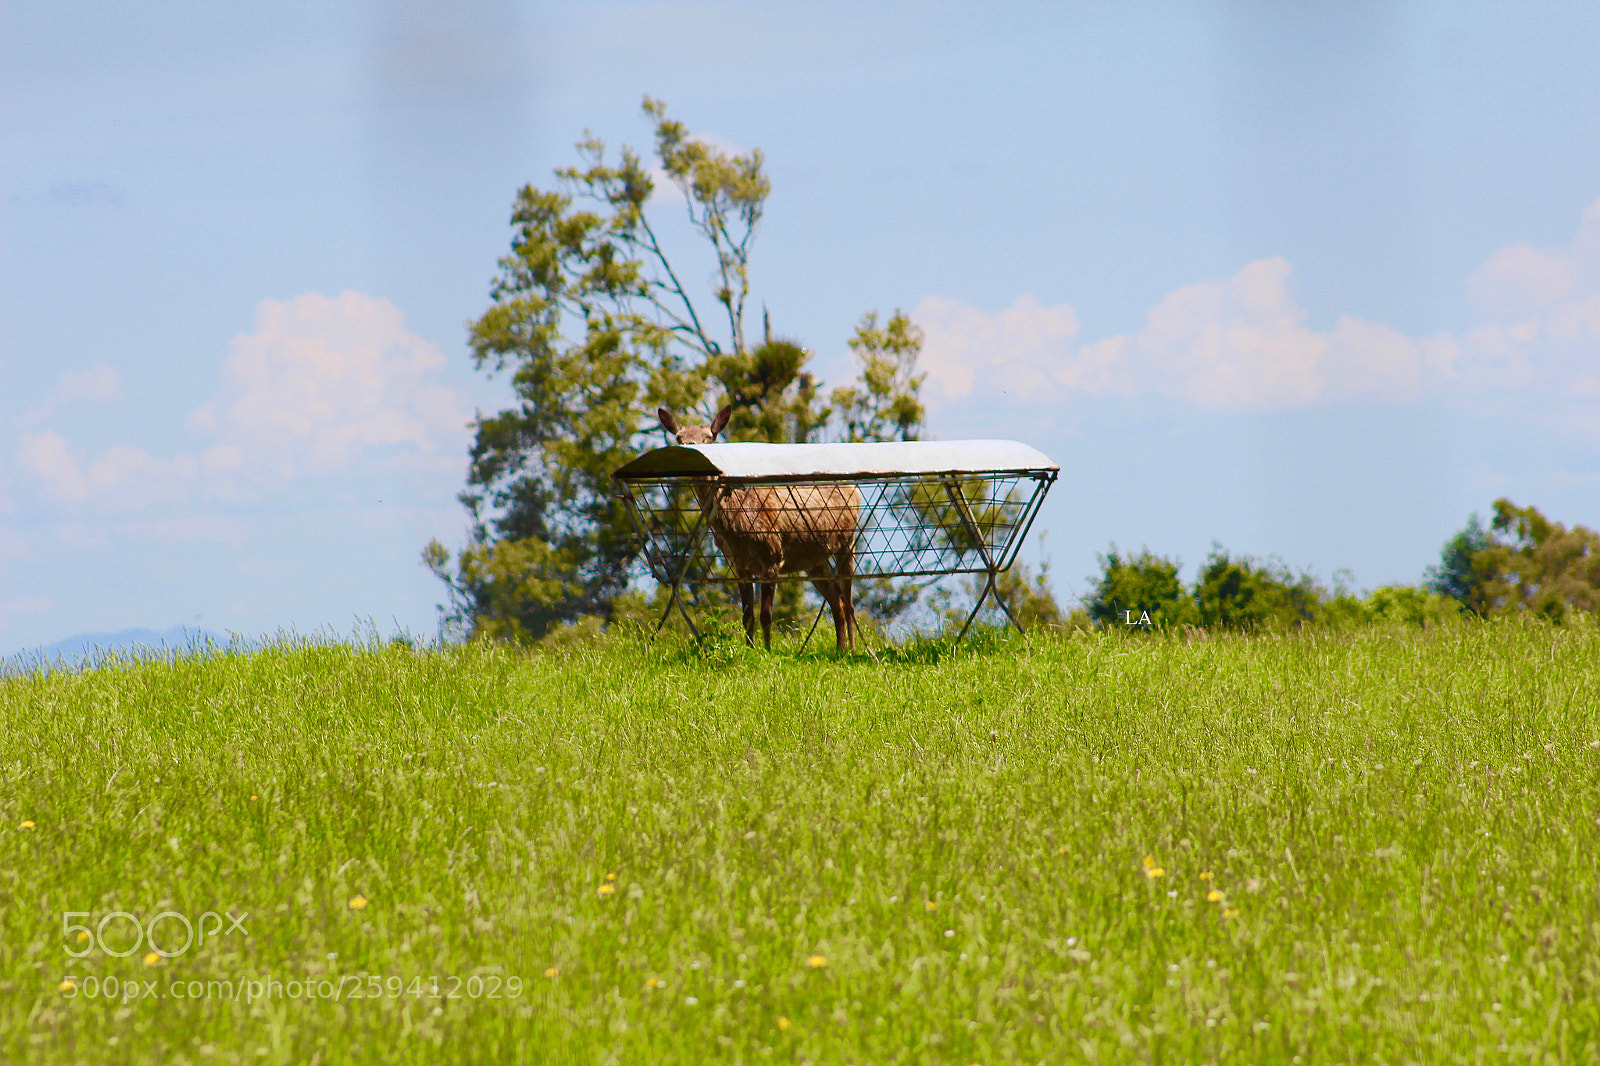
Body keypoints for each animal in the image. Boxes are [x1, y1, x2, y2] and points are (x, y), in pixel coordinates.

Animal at [657, 406, 860, 652]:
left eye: (708, 437)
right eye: (679, 437)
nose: (690, 448)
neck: (737, 529)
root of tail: (855, 490)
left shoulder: (772, 556)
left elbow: (766, 615)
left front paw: (768, 652)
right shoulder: (739, 566)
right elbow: (747, 617)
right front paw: (749, 650)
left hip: (847, 543)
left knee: (849, 601)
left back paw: (851, 650)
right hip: (813, 561)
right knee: (836, 600)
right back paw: (840, 650)